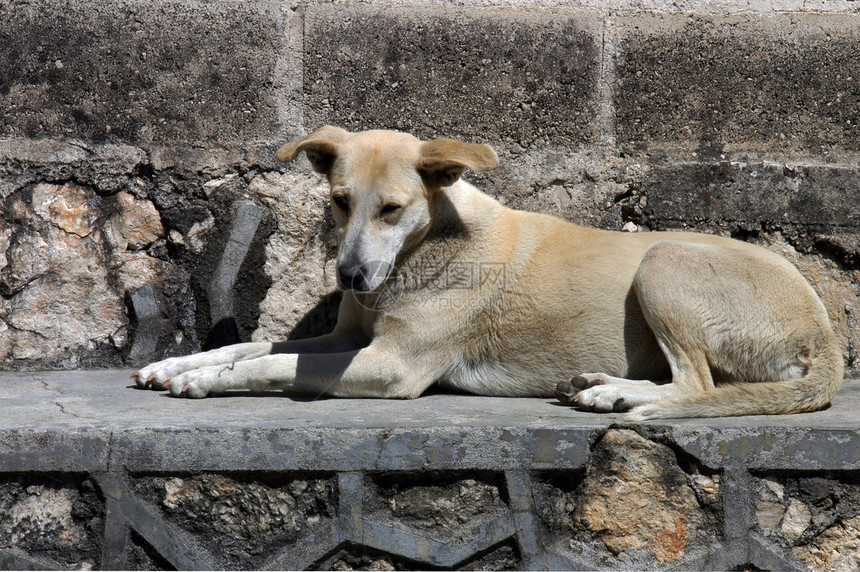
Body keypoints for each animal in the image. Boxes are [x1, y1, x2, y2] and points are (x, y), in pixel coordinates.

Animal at [131, 126, 844, 420]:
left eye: (392, 209)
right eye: (338, 201)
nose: (352, 278)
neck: (422, 250)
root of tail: (826, 336)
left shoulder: (390, 366)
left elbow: (272, 363)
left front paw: (207, 382)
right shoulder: (346, 338)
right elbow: (255, 345)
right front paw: (177, 365)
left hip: (665, 262)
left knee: (696, 382)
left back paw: (618, 397)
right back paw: (600, 384)